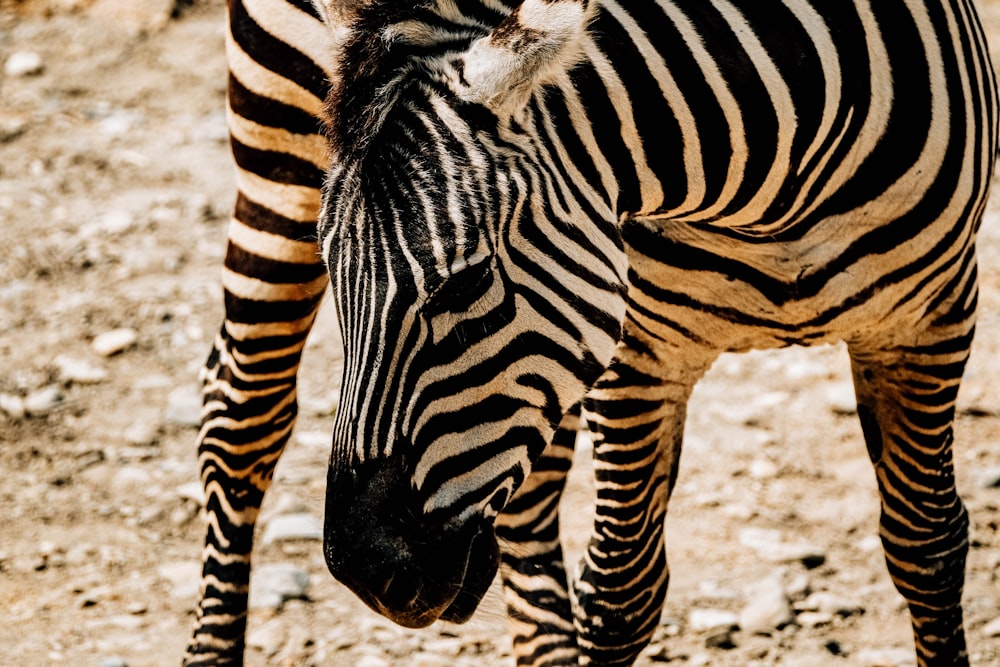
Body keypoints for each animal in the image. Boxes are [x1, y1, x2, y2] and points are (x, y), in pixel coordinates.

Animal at [308, 1, 996, 667]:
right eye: (332, 272)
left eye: (465, 283)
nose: (364, 573)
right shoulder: (636, 359)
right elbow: (622, 592)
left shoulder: (928, 321)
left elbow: (927, 546)